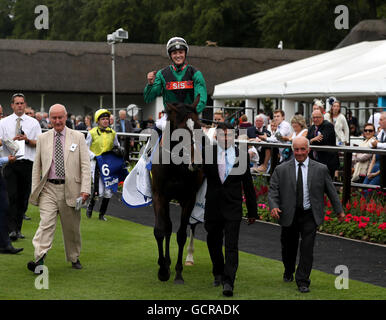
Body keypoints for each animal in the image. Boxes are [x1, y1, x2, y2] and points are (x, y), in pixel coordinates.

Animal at [151, 96, 205, 284]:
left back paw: (189, 258)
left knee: (192, 226)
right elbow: (161, 229)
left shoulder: (189, 197)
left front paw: (178, 273)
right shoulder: (159, 195)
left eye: (198, 127)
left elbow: (181, 234)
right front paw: (162, 269)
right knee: (167, 226)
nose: (197, 163)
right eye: (181, 131)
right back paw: (166, 262)